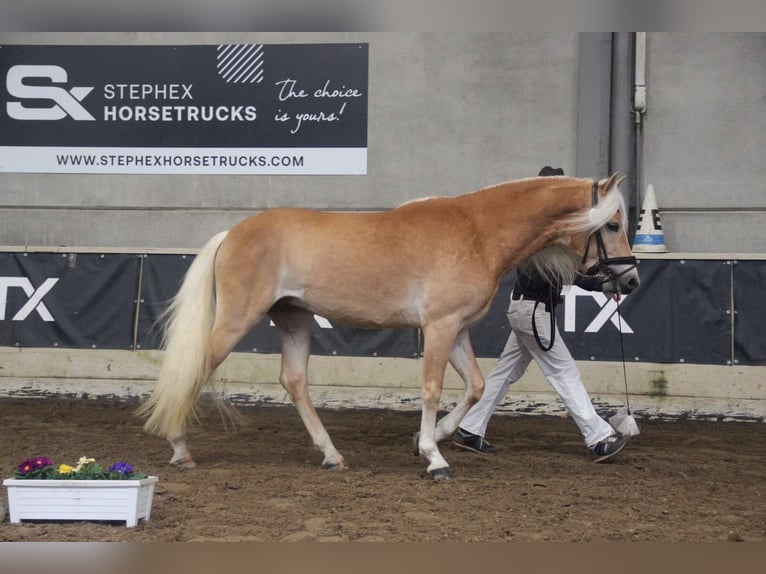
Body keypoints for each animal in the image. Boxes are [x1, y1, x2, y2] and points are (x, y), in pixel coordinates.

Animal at [138, 174, 640, 482]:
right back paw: (179, 448)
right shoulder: (438, 327)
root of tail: (232, 234)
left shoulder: (457, 330)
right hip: (237, 320)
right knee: (195, 370)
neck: (477, 232)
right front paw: (435, 459)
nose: (631, 281)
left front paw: (430, 439)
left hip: (294, 318)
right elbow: (433, 389)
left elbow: (476, 386)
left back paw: (332, 455)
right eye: (612, 224)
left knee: (295, 380)